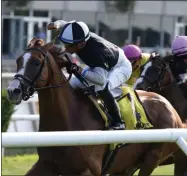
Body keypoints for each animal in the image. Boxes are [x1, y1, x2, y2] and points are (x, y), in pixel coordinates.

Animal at [6, 37, 186, 175]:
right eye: (18, 61)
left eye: (36, 62)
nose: (13, 91)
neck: (69, 118)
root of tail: (173, 112)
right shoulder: (46, 164)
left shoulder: (88, 170)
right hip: (127, 166)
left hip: (152, 159)